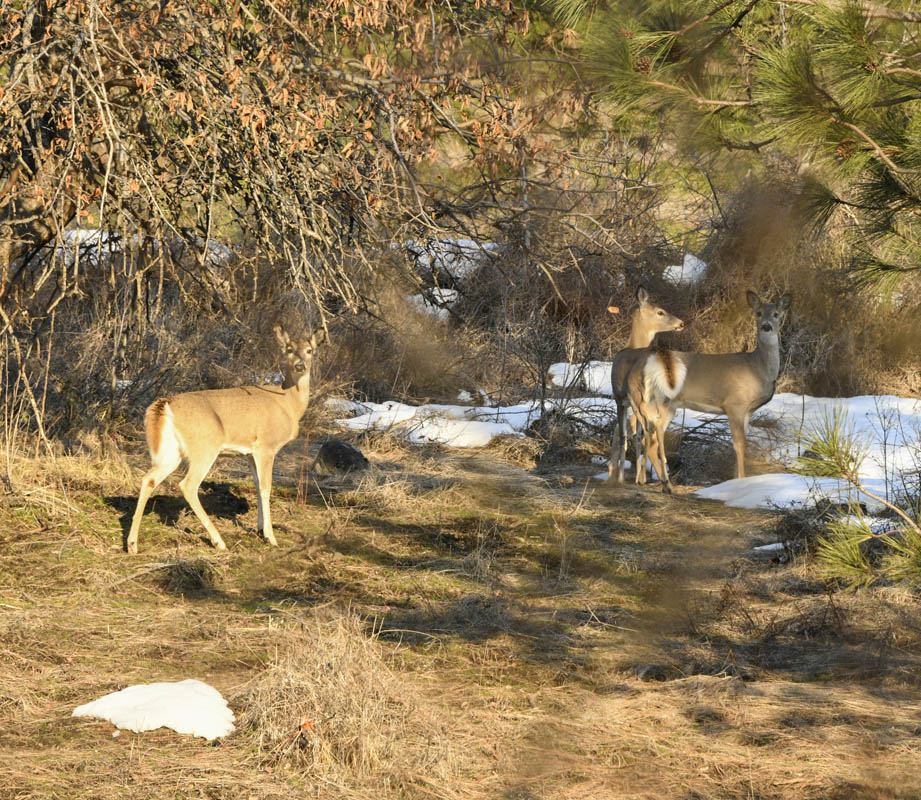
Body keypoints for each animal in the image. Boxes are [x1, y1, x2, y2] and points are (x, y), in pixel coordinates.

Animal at [126, 324, 326, 554]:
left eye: (310, 350)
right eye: (289, 349)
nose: (300, 365)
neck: (289, 404)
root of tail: (166, 404)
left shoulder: (249, 453)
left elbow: (257, 485)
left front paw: (260, 529)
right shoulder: (266, 446)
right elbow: (266, 487)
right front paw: (271, 537)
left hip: (171, 452)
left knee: (148, 479)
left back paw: (132, 544)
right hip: (204, 446)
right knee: (188, 485)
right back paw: (219, 541)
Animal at [608, 286, 685, 484]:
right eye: (660, 312)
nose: (681, 323)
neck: (631, 345)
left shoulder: (620, 398)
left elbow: (625, 436)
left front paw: (623, 477)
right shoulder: (623, 401)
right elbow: (632, 436)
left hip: (639, 398)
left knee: (648, 432)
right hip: (660, 400)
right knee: (656, 431)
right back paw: (663, 478)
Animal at [635, 290, 791, 491]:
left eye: (776, 314)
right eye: (758, 313)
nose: (766, 326)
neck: (757, 369)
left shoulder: (747, 411)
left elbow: (741, 444)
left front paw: (736, 479)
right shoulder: (735, 403)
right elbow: (739, 444)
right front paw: (741, 480)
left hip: (668, 405)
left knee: (650, 439)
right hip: (662, 401)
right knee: (653, 438)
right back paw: (664, 483)